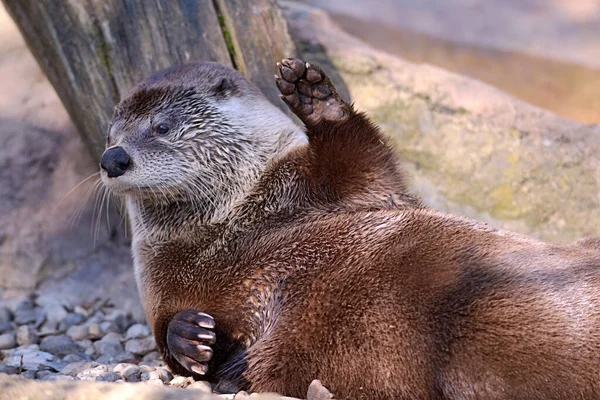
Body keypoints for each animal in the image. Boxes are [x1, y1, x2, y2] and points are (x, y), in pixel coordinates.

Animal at [101, 57, 600, 400]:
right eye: (111, 132)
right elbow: (164, 339)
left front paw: (313, 96)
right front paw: (190, 336)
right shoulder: (158, 285)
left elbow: (364, 157)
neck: (229, 227)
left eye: (162, 126)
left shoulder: (353, 189)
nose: (113, 158)